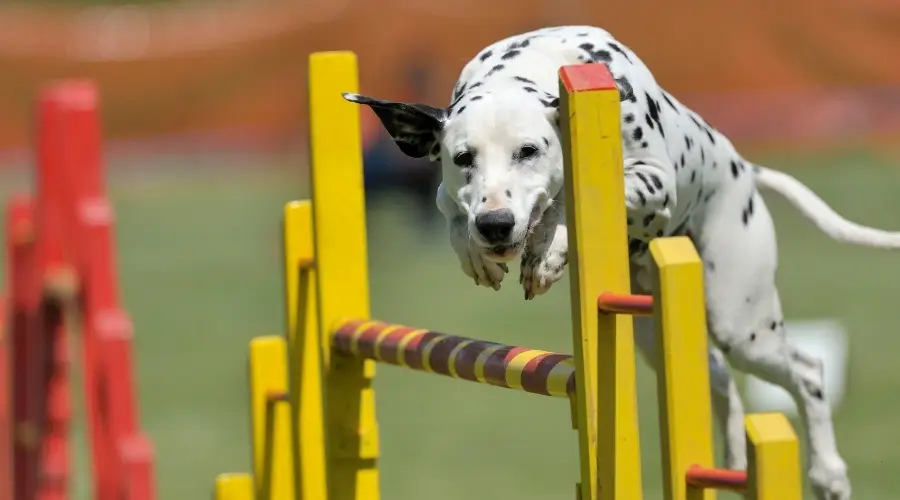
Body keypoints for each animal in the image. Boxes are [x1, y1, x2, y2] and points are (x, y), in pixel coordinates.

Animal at [342, 24, 900, 500]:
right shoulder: (450, 191)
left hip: (743, 325)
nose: (496, 224)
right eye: (463, 158)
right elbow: (446, 203)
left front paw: (547, 252)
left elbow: (566, 203)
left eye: (529, 150)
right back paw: (732, 455)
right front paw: (476, 251)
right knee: (719, 377)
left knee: (807, 370)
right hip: (658, 327)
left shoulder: (653, 183)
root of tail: (744, 169)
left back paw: (827, 473)